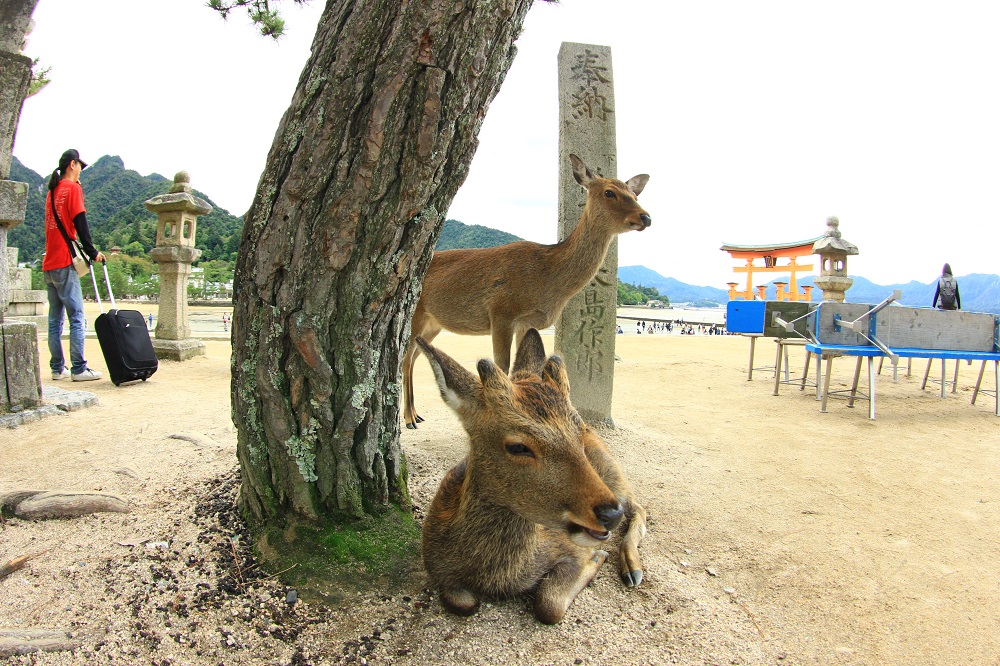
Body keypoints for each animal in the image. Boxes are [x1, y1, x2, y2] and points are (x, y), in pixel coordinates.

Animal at [402, 154, 652, 428]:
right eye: (609, 192)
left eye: (634, 194)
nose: (646, 217)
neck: (548, 280)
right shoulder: (501, 312)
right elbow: (501, 367)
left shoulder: (526, 322)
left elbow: (524, 368)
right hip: (414, 313)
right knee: (403, 360)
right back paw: (408, 418)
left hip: (433, 324)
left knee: (415, 357)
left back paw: (416, 414)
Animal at [416, 326, 644, 624]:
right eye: (518, 446)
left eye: (577, 431)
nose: (610, 514)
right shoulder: (437, 568)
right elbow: (463, 603)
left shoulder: (571, 551)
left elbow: (549, 605)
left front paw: (596, 558)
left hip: (613, 472)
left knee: (639, 507)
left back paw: (632, 569)